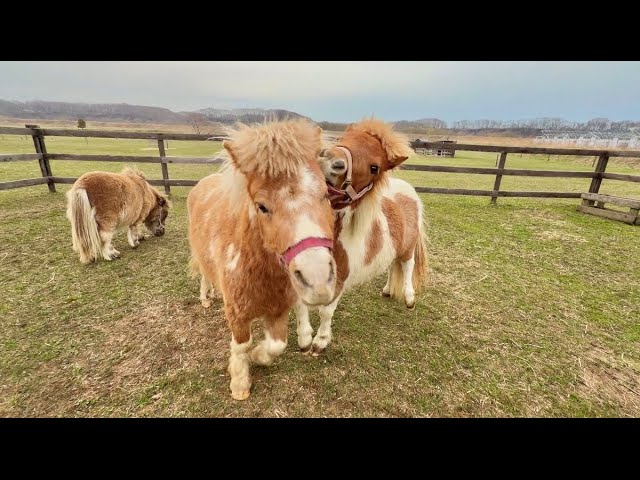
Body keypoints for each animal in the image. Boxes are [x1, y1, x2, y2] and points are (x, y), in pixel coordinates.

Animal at [187, 119, 337, 400]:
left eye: (325, 194)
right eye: (262, 206)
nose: (318, 280)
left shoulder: (278, 311)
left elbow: (277, 345)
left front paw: (258, 356)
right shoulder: (236, 314)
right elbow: (240, 345)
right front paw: (239, 383)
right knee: (203, 272)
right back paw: (205, 297)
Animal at [295, 118, 428, 355]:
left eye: (375, 168)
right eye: (341, 139)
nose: (329, 160)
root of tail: (407, 190)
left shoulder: (340, 278)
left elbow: (326, 312)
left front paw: (320, 342)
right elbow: (300, 307)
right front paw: (304, 339)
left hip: (408, 248)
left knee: (407, 266)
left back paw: (410, 299)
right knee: (392, 266)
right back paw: (387, 290)